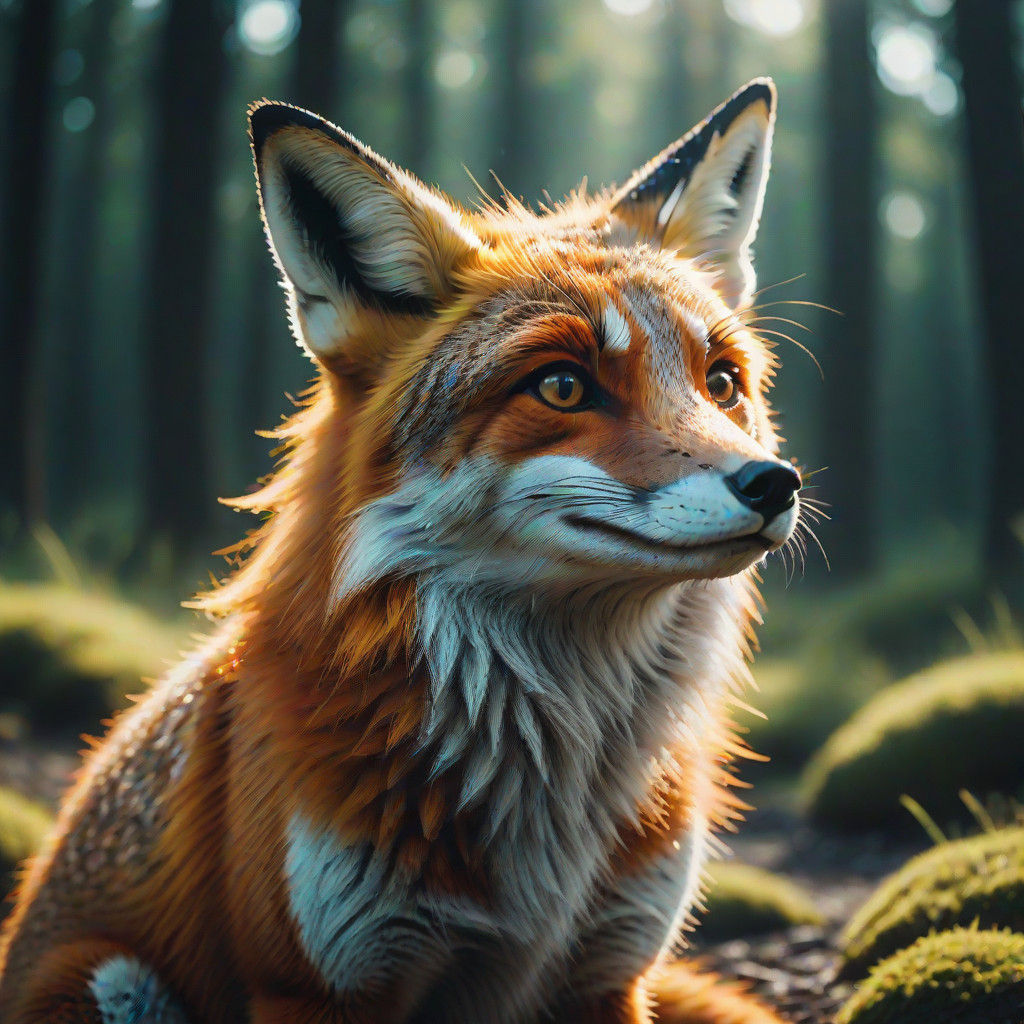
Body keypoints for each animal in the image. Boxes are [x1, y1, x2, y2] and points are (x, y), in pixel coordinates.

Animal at [0, 79, 803, 1023]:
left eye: (721, 384)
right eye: (562, 386)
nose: (774, 484)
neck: (550, 805)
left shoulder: (610, 969)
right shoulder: (319, 982)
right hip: (111, 981)